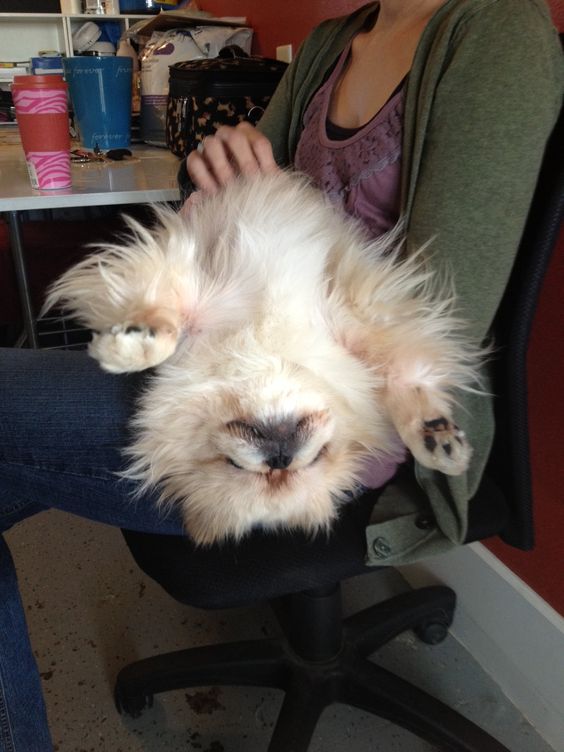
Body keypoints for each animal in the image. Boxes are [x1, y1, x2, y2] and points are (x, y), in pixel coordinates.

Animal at [46, 173, 482, 544]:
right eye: (235, 466)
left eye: (313, 459)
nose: (279, 457)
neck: (266, 348)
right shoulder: (192, 289)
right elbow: (163, 323)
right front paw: (128, 346)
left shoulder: (359, 321)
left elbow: (404, 376)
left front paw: (434, 436)